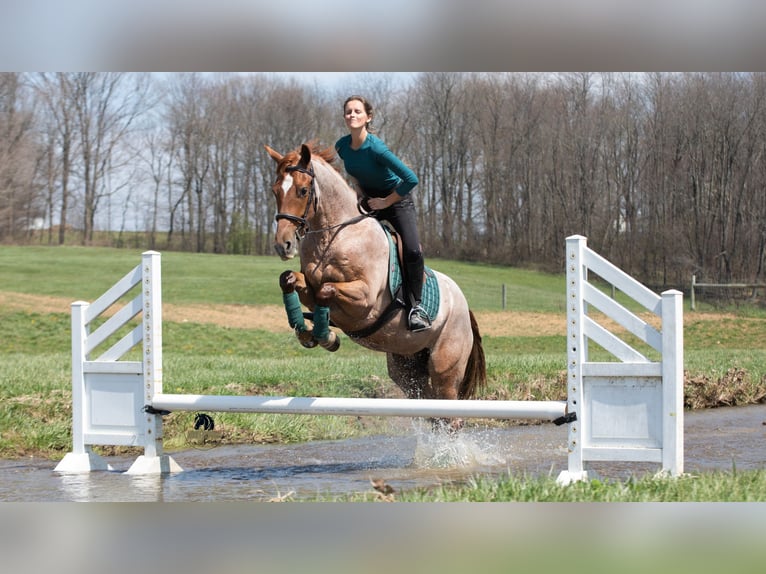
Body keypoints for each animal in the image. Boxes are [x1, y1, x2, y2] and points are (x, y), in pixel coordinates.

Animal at [265, 142, 486, 424]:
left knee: (451, 415)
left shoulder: (364, 300)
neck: (335, 235)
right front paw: (308, 332)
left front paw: (327, 337)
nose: (282, 245)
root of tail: (465, 308)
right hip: (406, 366)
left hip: (445, 368)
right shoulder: (309, 286)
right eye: (275, 190)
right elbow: (289, 280)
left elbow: (327, 290)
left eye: (303, 191)